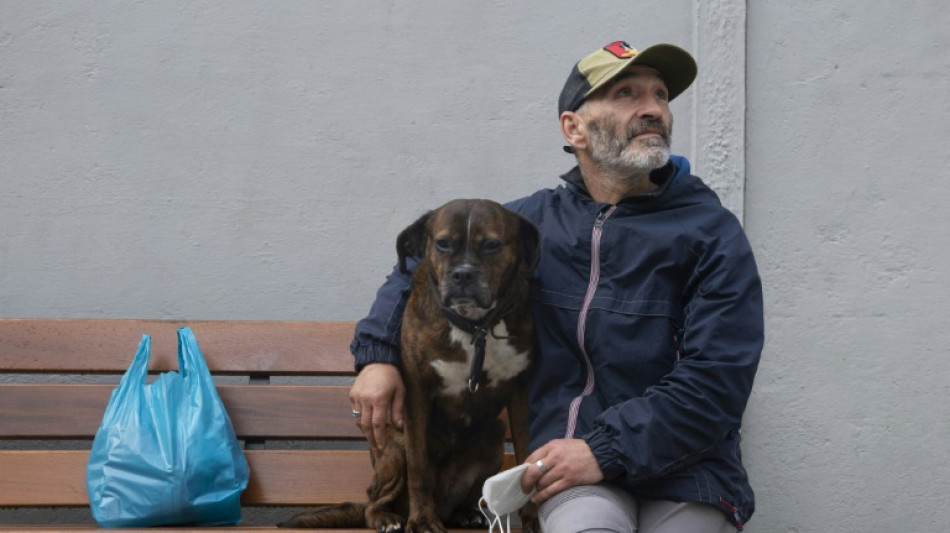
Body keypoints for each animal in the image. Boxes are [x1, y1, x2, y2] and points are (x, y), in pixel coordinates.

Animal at [278, 200, 540, 532]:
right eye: (443, 243)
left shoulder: (520, 396)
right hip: (394, 448)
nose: (463, 275)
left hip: (493, 436)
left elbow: (527, 460)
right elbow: (419, 469)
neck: (474, 326)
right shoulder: (417, 395)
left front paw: (533, 521)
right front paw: (422, 520)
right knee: (373, 502)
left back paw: (464, 514)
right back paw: (388, 518)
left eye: (492, 245)